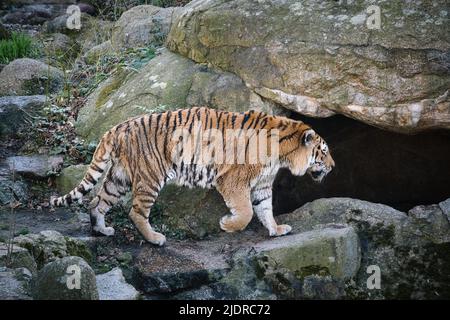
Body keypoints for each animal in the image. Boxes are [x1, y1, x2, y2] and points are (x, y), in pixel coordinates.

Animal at [51, 107, 336, 245]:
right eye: (323, 152)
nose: (333, 167)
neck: (283, 155)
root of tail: (117, 127)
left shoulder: (262, 186)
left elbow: (265, 209)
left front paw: (276, 230)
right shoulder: (233, 180)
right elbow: (246, 212)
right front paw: (227, 225)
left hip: (118, 177)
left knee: (97, 201)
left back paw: (102, 230)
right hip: (150, 176)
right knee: (135, 211)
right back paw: (155, 239)